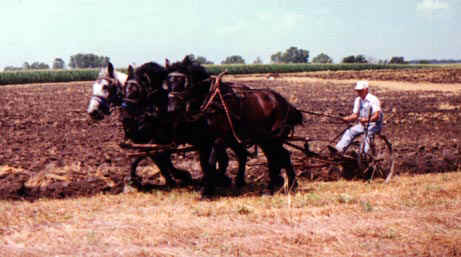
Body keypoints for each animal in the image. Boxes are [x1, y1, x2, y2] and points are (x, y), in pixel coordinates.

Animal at [165, 56, 302, 195]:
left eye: (183, 81)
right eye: (168, 83)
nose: (171, 109)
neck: (212, 100)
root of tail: (285, 103)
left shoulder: (218, 139)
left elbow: (212, 162)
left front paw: (208, 190)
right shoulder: (204, 140)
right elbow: (206, 163)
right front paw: (211, 185)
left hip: (274, 137)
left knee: (282, 156)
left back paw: (290, 184)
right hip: (263, 138)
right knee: (270, 157)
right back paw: (270, 185)